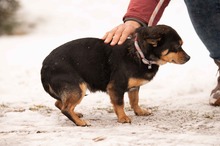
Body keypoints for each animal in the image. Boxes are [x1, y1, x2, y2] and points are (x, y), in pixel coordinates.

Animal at [41, 24, 191, 126]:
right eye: (177, 47)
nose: (189, 58)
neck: (139, 54)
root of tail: (44, 67)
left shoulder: (134, 88)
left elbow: (134, 101)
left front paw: (140, 111)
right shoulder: (116, 87)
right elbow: (120, 104)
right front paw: (123, 118)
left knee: (59, 103)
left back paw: (76, 114)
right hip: (78, 88)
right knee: (65, 108)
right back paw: (80, 122)